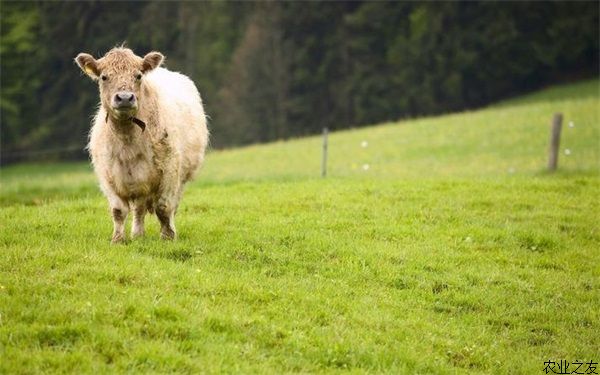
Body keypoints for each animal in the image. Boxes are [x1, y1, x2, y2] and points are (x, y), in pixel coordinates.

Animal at [75, 47, 209, 244]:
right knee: (139, 209)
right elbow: (118, 210)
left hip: (180, 177)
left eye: (138, 76)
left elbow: (164, 207)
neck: (127, 140)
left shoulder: (170, 170)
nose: (124, 98)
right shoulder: (108, 175)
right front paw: (118, 239)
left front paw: (168, 236)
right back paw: (138, 234)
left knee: (171, 205)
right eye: (104, 77)